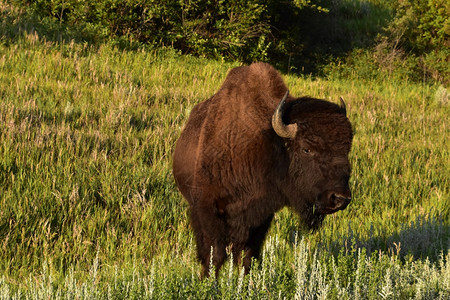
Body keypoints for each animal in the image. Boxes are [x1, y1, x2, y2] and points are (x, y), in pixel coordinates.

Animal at [174, 62, 354, 276]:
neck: (267, 143)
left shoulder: (261, 217)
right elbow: (214, 255)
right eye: (307, 148)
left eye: (347, 149)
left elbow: (247, 256)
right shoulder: (208, 209)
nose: (340, 198)